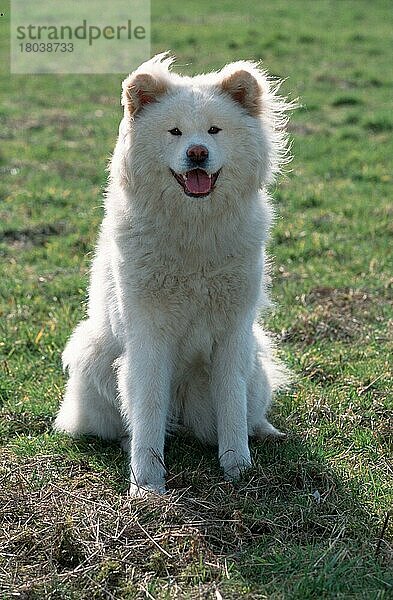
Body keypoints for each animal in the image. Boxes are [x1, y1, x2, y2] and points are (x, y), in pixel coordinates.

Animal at [53, 51, 290, 494]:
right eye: (175, 132)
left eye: (214, 130)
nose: (197, 153)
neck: (193, 231)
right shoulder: (148, 333)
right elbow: (146, 410)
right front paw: (146, 485)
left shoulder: (233, 333)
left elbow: (231, 405)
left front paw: (238, 469)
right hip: (94, 357)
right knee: (131, 421)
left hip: (254, 363)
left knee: (246, 411)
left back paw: (265, 431)